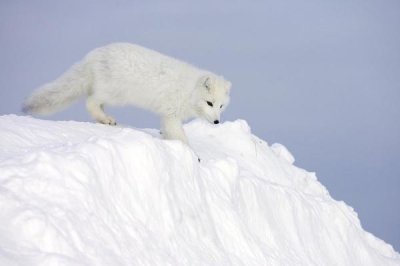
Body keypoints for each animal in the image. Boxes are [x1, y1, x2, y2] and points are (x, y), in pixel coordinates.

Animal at [23, 44, 231, 148]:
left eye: (221, 106)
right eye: (209, 103)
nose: (217, 122)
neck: (188, 90)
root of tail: (93, 55)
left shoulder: (166, 115)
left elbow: (168, 133)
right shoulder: (171, 114)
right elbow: (181, 137)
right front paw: (193, 156)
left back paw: (105, 120)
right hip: (114, 93)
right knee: (90, 101)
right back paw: (106, 119)